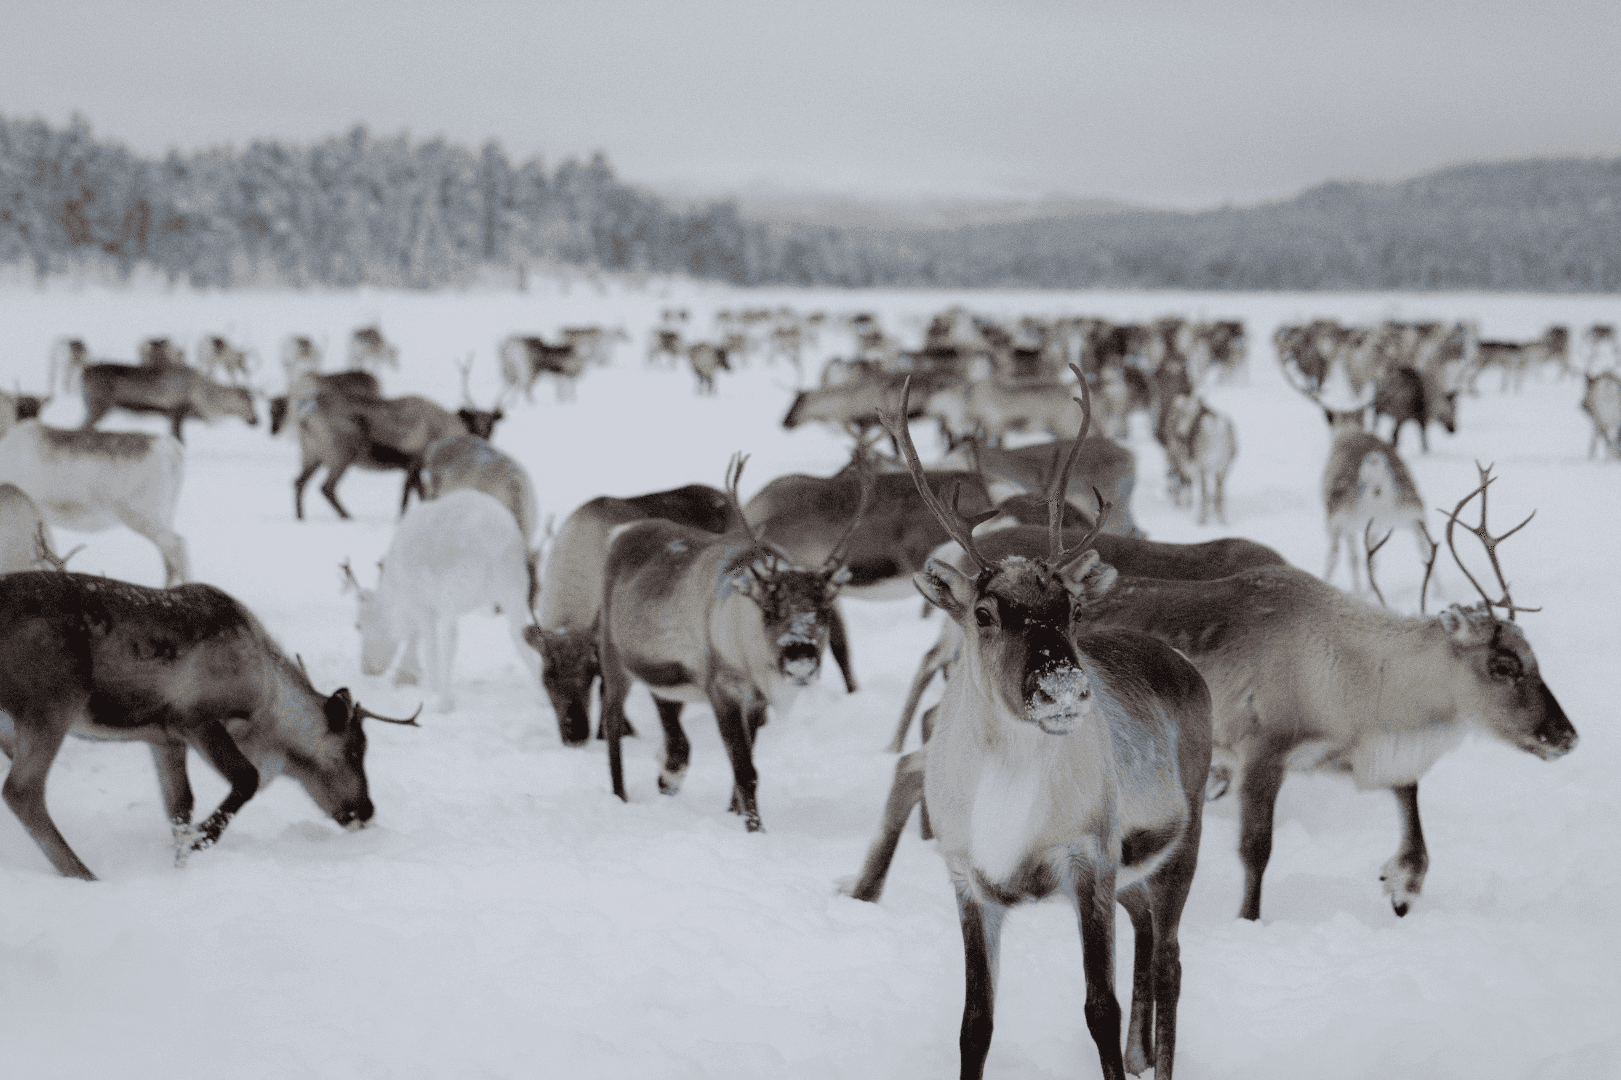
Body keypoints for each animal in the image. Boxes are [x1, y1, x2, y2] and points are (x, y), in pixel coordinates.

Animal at [0, 569, 418, 880]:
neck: (268, 700)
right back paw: (84, 875)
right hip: (52, 704)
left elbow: (180, 806)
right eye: (354, 749)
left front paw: (181, 861)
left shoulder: (165, 739)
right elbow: (247, 778)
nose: (367, 810)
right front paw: (202, 839)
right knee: (22, 791)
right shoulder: (195, 719)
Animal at [342, 489, 542, 713]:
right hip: (514, 588)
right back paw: (542, 696)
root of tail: (491, 534)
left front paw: (428, 685)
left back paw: (443, 702)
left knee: (449, 639)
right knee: (520, 635)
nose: (366, 670)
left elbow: (427, 644)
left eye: (358, 625)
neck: (394, 596)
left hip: (452, 593)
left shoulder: (422, 606)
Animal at [596, 455, 858, 833]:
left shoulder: (756, 701)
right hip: (613, 658)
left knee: (668, 718)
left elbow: (745, 767)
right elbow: (745, 771)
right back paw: (620, 795)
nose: (801, 660)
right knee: (613, 723)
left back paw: (667, 779)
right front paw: (755, 830)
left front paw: (733, 814)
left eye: (824, 610)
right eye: (770, 609)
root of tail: (621, 532)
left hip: (664, 676)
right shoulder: (723, 689)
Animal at [866, 374, 1212, 1080]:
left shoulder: (1090, 860)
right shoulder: (969, 878)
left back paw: (1153, 1056)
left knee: (1170, 960)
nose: (1064, 689)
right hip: (1133, 876)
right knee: (1145, 933)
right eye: (984, 612)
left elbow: (1098, 1007)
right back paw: (1139, 1052)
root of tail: (1183, 664)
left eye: (1071, 607)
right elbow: (975, 1022)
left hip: (1181, 845)